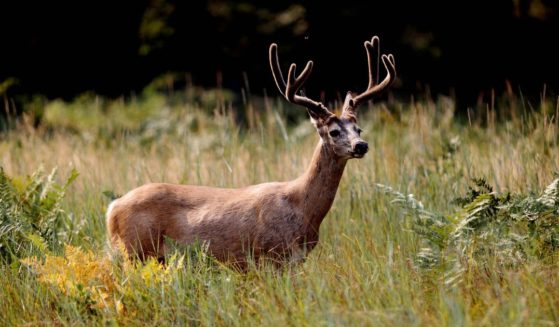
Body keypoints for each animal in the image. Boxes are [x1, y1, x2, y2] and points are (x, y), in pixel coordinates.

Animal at [105, 37, 396, 270]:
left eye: (358, 128)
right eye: (334, 131)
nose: (361, 145)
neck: (302, 208)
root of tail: (112, 208)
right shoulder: (271, 255)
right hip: (136, 250)